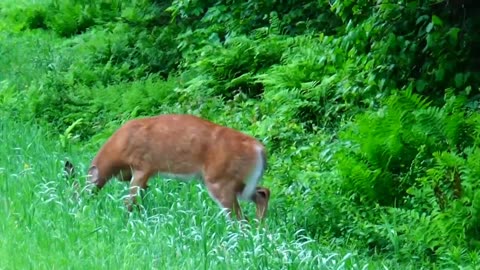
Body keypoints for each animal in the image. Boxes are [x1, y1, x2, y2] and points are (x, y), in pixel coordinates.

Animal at [64, 113, 270, 220]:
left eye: (77, 196)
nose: (73, 214)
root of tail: (259, 148)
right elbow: (141, 197)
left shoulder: (143, 166)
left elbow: (129, 201)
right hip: (240, 181)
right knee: (263, 192)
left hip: (220, 179)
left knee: (240, 217)